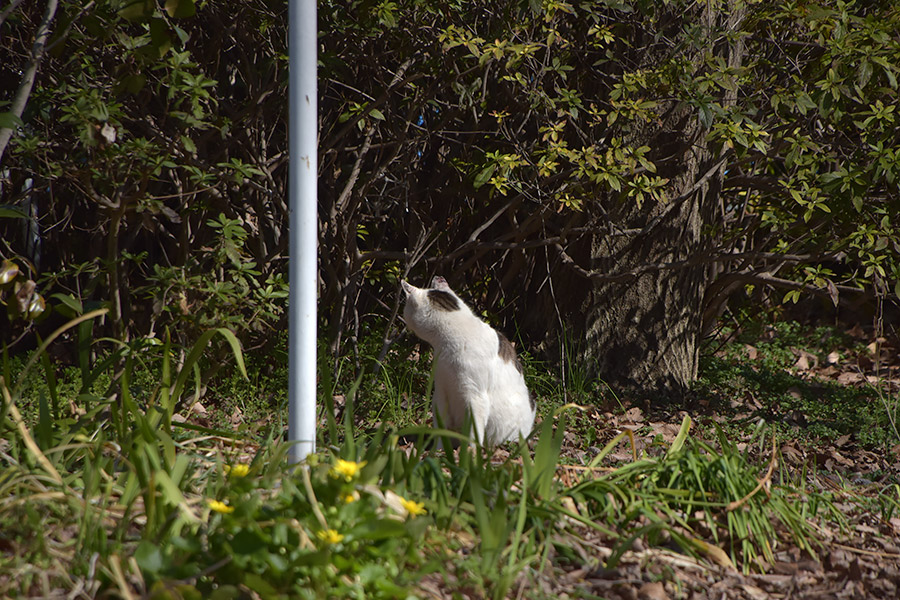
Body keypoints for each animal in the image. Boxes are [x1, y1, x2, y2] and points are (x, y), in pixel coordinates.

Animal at [400, 276, 536, 446]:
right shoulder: (441, 391)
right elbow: (440, 427)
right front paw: (438, 449)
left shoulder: (475, 397)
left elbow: (474, 432)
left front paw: (469, 451)